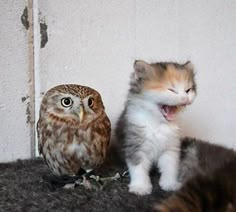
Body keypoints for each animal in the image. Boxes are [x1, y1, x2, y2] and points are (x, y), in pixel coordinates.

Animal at [115, 60, 196, 195]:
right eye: (171, 90)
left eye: (188, 90)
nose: (185, 98)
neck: (158, 124)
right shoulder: (135, 145)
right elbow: (138, 168)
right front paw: (140, 187)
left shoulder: (171, 147)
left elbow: (170, 166)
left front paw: (170, 183)